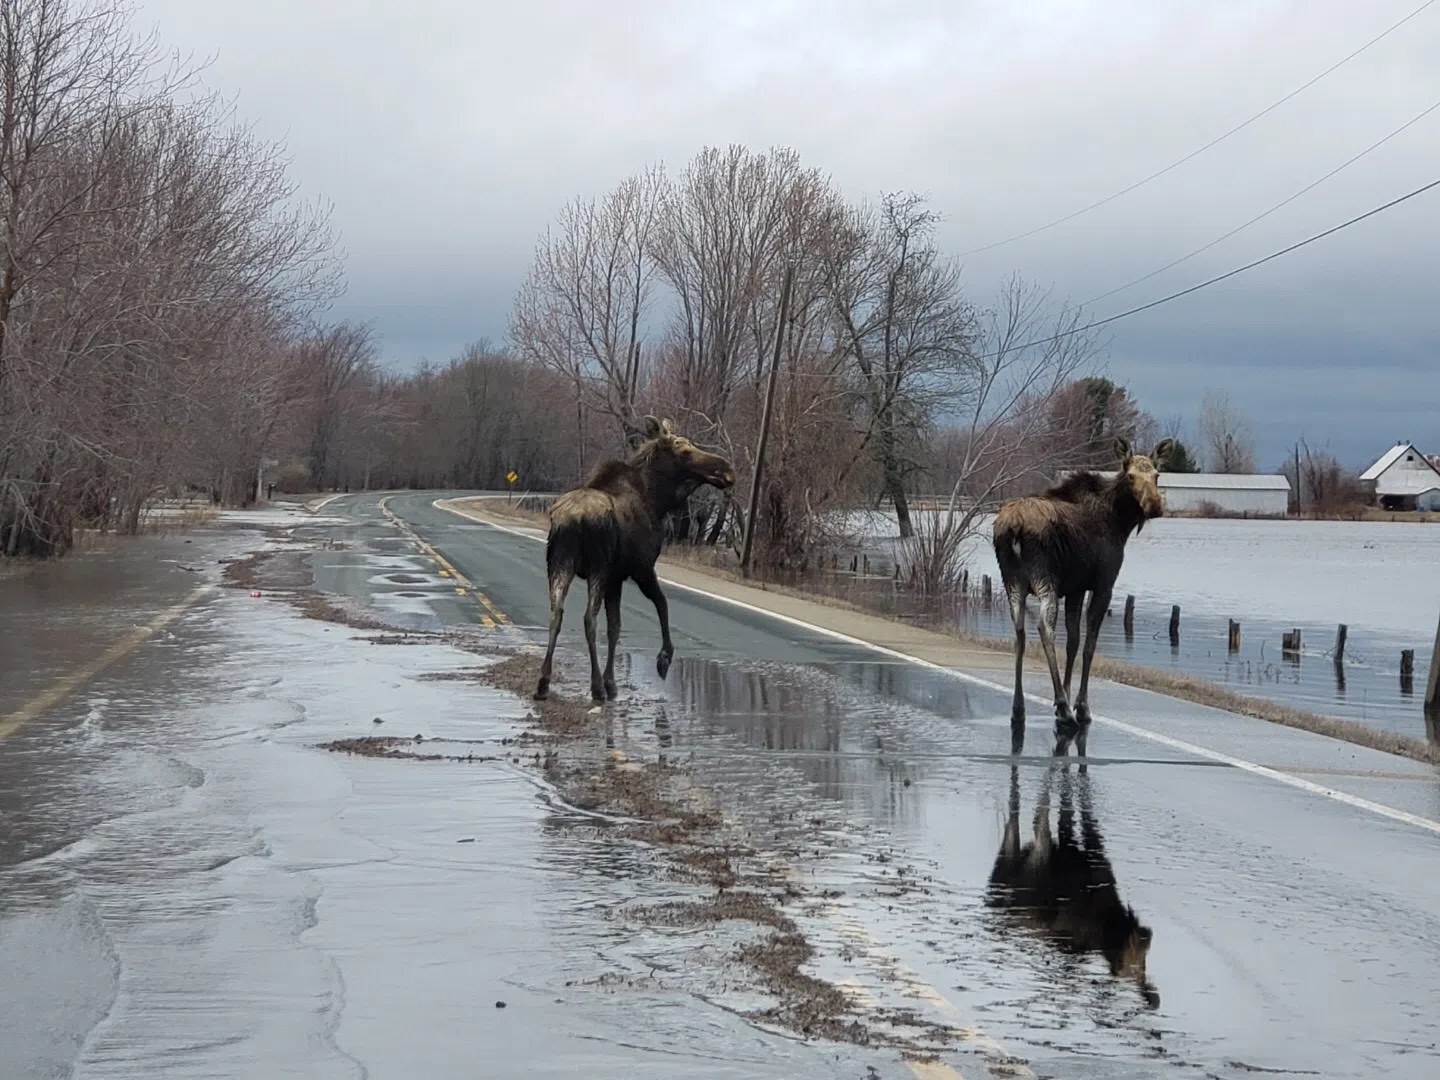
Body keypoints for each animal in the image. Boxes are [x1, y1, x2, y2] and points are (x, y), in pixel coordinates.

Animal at [535, 417, 737, 705]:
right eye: (684, 449)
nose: (727, 470)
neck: (657, 500)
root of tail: (575, 520)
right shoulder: (640, 569)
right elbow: (659, 605)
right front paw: (662, 659)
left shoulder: (616, 578)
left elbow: (616, 626)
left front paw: (612, 681)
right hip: (597, 567)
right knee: (588, 618)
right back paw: (596, 687)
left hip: (559, 563)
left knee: (557, 613)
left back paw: (543, 682)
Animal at [996, 437, 1175, 754]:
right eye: (1131, 476)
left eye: (1156, 475)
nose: (1154, 506)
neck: (1120, 522)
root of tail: (1014, 527)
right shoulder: (1103, 584)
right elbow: (1089, 643)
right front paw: (1079, 705)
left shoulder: (1076, 588)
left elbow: (1073, 641)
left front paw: (1067, 696)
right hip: (1045, 579)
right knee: (1044, 627)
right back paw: (1064, 710)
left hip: (1013, 582)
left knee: (1019, 632)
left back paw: (1020, 709)